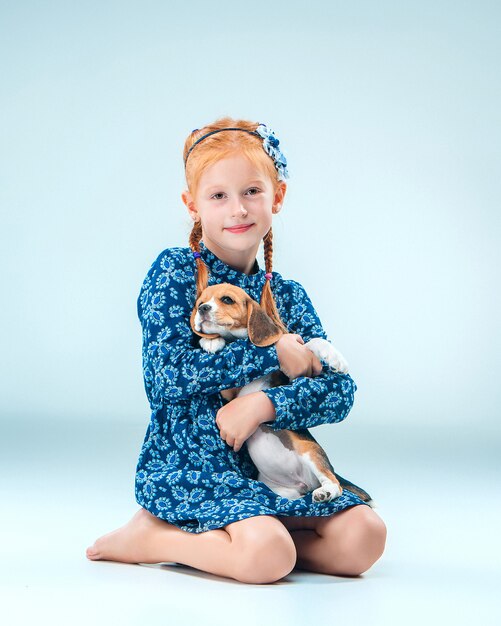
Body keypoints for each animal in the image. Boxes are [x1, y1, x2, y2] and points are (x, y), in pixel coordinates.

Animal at [189, 280, 374, 504]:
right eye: (200, 302)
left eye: (227, 299)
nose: (203, 309)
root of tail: (303, 484)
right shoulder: (229, 393)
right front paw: (211, 340)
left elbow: (310, 343)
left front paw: (334, 357)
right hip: (281, 488)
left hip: (310, 451)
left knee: (335, 484)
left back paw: (326, 492)